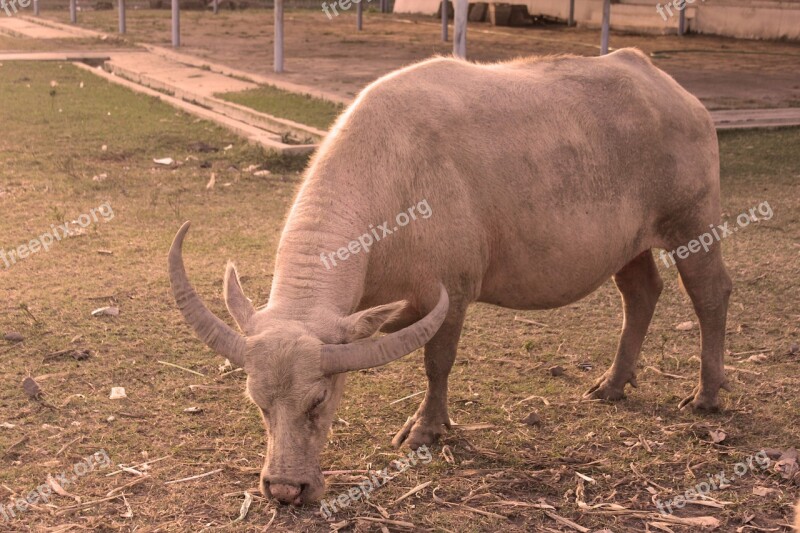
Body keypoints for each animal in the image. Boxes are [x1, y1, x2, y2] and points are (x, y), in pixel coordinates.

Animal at [169, 47, 732, 504]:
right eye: (258, 403)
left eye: (319, 400)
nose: (286, 489)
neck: (393, 184)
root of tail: (675, 92)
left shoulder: (454, 294)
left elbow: (437, 364)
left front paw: (425, 430)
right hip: (628, 246)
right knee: (641, 293)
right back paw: (613, 384)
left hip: (693, 224)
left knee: (710, 294)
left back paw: (706, 394)